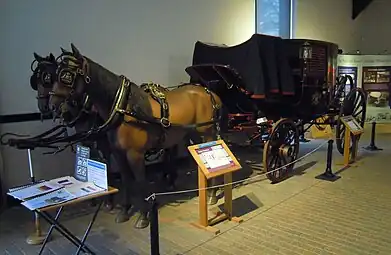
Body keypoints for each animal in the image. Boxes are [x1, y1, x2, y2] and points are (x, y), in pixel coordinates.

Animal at [49, 44, 224, 229]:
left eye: (67, 75)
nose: (53, 106)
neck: (124, 107)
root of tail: (209, 92)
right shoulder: (118, 153)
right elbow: (126, 180)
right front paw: (124, 211)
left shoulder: (135, 154)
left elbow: (140, 182)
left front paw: (143, 216)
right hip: (194, 135)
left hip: (206, 134)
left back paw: (212, 194)